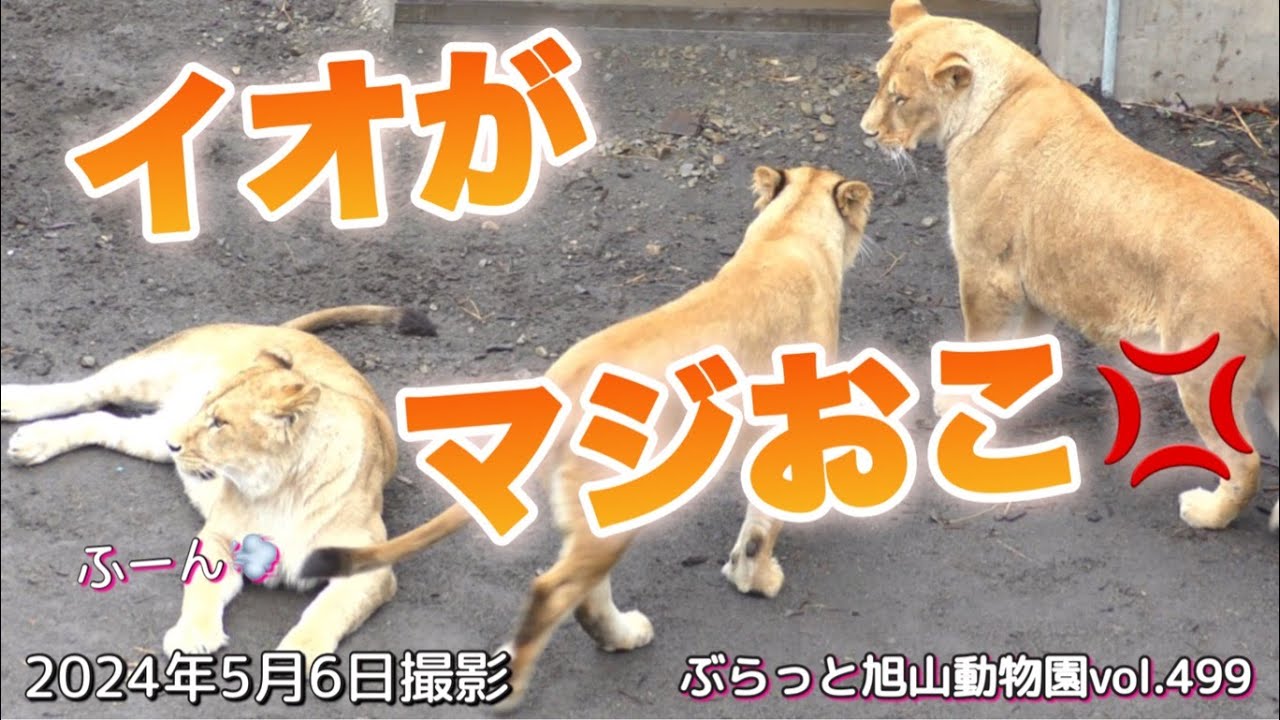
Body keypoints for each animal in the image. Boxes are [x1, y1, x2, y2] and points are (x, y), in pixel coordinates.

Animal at [1, 304, 437, 660]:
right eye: (206, 408)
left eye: (219, 423)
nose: (177, 441)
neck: (282, 489)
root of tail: (277, 329)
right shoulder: (218, 537)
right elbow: (202, 591)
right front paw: (192, 636)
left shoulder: (371, 566)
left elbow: (326, 613)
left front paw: (300, 653)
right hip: (150, 370)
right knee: (86, 390)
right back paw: (13, 402)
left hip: (152, 436)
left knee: (100, 420)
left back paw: (35, 442)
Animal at [299, 166, 875, 708]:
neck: (788, 232)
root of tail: (560, 383)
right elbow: (766, 519)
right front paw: (758, 577)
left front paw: (742, 568)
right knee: (551, 591)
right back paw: (517, 685)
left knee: (586, 595)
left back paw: (623, 635)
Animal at [860, 0, 1279, 532]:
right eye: (878, 82)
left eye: (900, 97)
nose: (867, 132)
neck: (1006, 91)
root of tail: (1270, 255)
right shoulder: (1031, 284)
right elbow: (1020, 345)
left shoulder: (985, 272)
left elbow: (978, 343)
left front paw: (955, 401)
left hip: (1205, 375)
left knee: (1245, 462)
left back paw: (1205, 512)